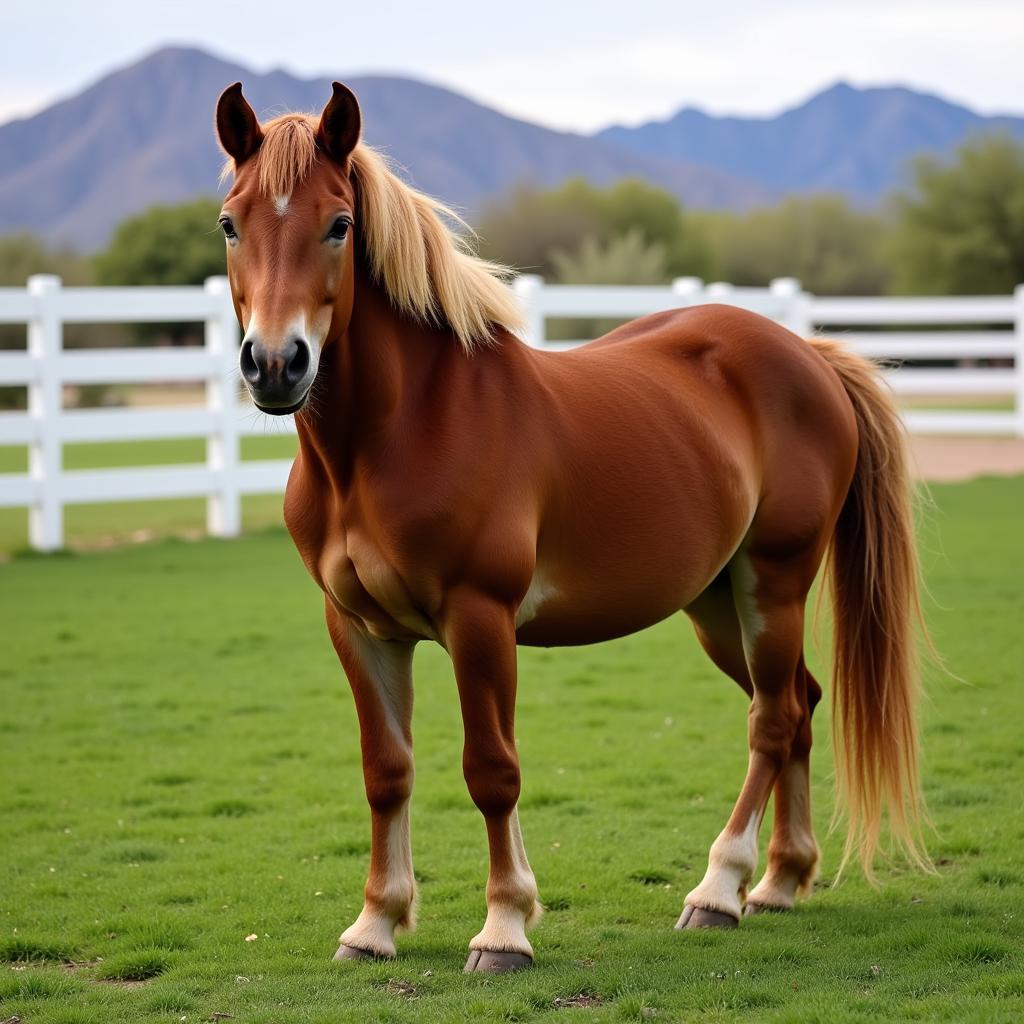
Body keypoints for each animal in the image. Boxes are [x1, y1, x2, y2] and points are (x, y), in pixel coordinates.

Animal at [214, 83, 929, 970]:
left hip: (776, 584)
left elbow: (492, 770)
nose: (276, 365)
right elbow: (387, 771)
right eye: (230, 223)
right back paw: (778, 882)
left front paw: (504, 928)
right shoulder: (357, 627)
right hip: (716, 605)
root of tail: (807, 354)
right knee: (799, 702)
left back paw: (718, 889)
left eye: (339, 223)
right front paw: (375, 924)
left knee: (773, 721)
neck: (397, 435)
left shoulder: (480, 620)